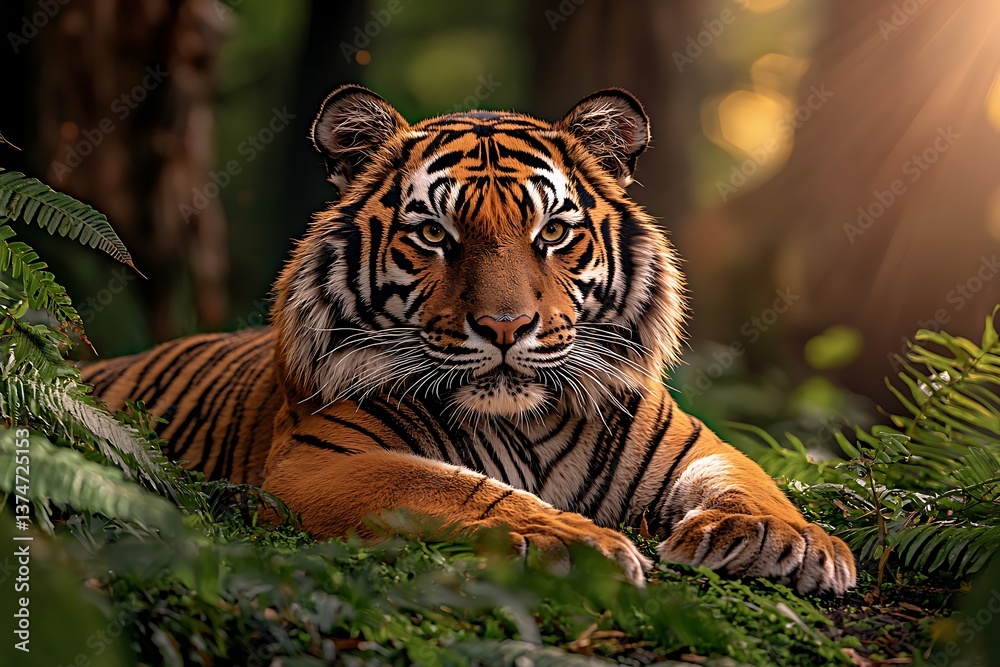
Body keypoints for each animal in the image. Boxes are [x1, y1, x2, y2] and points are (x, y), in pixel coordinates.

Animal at [84, 85, 856, 594]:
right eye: (434, 234)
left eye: (553, 232)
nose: (506, 327)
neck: (528, 424)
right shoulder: (315, 463)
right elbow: (450, 486)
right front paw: (574, 541)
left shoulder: (690, 441)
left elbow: (749, 478)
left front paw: (788, 540)